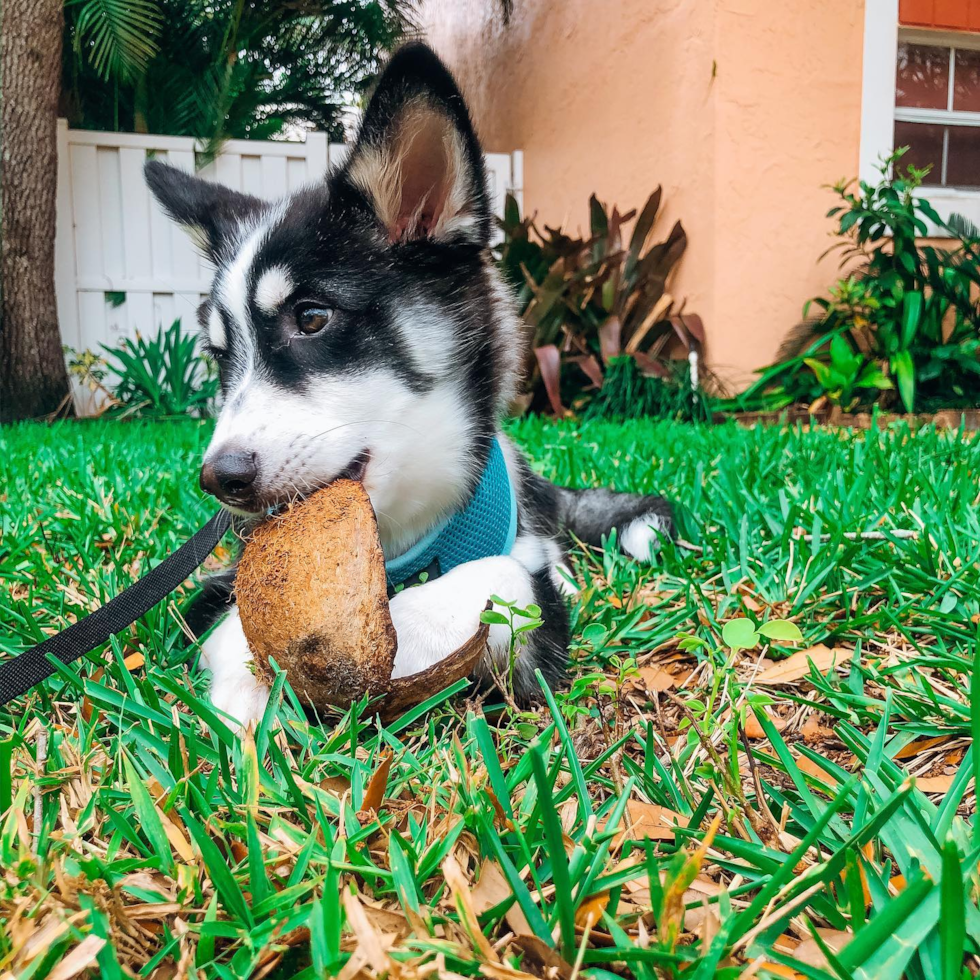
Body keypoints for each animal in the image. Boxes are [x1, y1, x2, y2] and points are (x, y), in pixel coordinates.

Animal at [145, 42, 672, 724]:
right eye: (218, 354)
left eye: (311, 318)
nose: (220, 479)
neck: (402, 537)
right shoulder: (212, 588)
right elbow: (224, 614)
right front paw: (244, 682)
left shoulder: (532, 610)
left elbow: (494, 581)